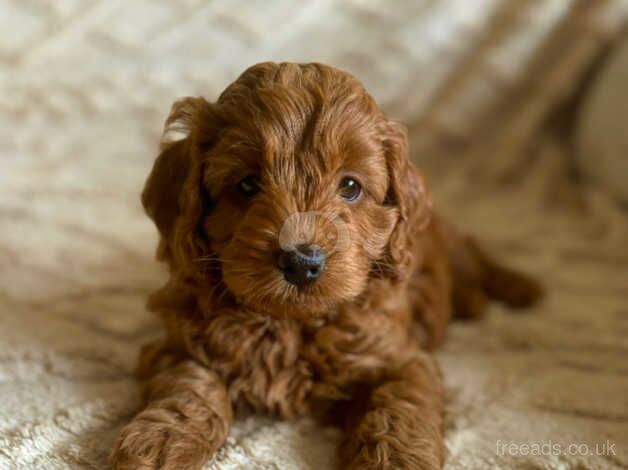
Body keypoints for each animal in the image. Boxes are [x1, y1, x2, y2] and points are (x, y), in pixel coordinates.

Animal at [110, 62, 544, 470]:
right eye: (247, 185)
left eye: (350, 187)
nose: (301, 261)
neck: (291, 323)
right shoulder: (178, 342)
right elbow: (190, 386)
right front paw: (161, 442)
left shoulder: (401, 358)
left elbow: (397, 411)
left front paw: (394, 461)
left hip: (449, 240)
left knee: (475, 255)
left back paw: (517, 288)